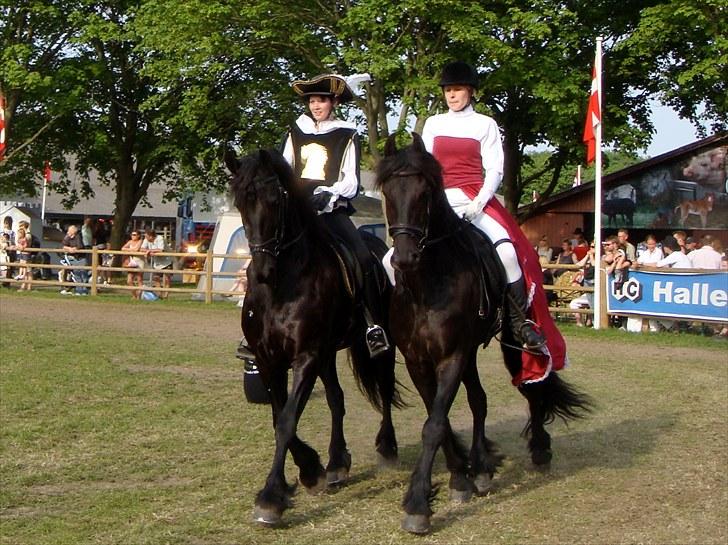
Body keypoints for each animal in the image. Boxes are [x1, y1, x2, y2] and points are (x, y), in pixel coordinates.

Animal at [225, 148, 400, 524]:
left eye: (275, 199)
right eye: (241, 201)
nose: (263, 271)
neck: (282, 285)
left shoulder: (305, 357)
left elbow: (287, 420)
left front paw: (271, 497)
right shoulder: (269, 360)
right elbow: (279, 417)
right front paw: (310, 469)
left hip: (382, 345)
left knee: (385, 387)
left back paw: (387, 447)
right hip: (328, 354)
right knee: (336, 398)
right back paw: (336, 463)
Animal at [376, 134, 592, 532]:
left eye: (425, 193)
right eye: (387, 192)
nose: (404, 259)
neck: (427, 284)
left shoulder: (452, 356)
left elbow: (434, 424)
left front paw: (418, 505)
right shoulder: (418, 360)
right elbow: (440, 418)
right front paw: (459, 478)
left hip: (509, 341)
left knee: (530, 385)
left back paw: (540, 448)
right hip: (469, 353)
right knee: (479, 400)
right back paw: (480, 468)